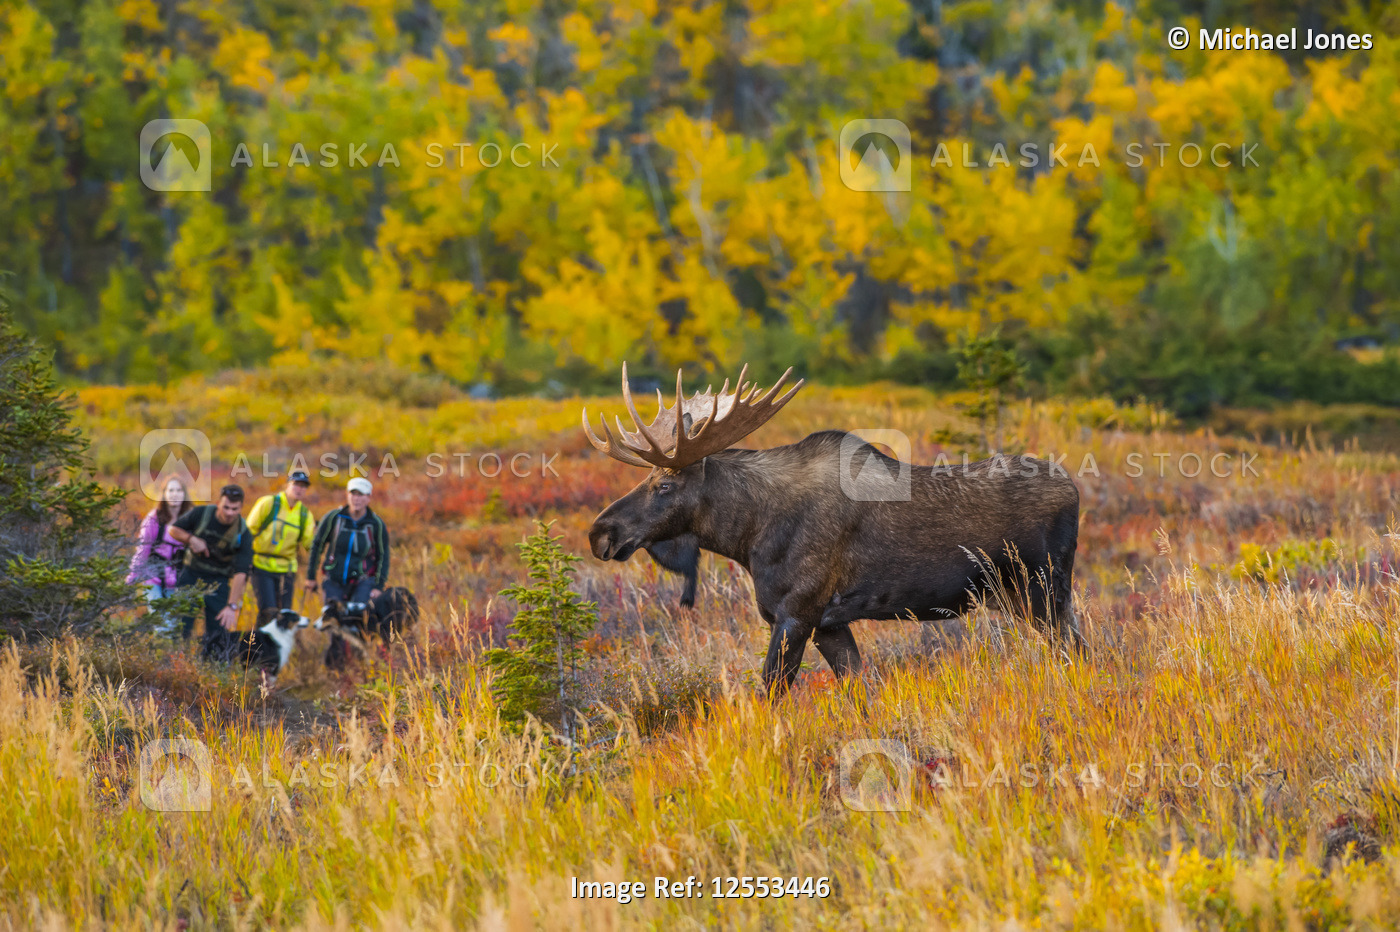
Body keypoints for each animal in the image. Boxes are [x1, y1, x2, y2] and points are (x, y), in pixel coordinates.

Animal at [579, 363, 1080, 688]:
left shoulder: (797, 613)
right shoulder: (829, 624)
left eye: (664, 484)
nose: (600, 533)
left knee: (1076, 652)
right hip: (1021, 598)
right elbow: (858, 689)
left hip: (1042, 589)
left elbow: (770, 692)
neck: (747, 535)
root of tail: (1075, 489)